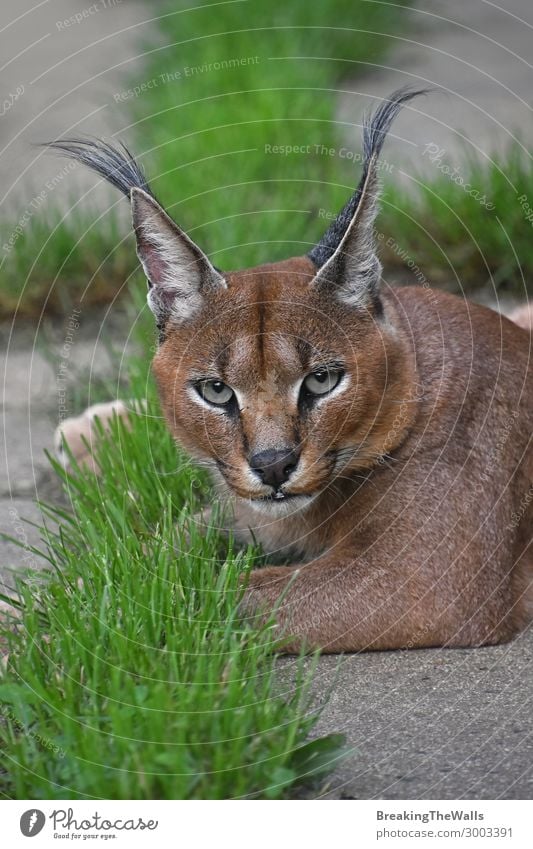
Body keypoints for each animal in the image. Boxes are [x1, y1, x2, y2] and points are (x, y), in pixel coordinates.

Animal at [51, 89, 532, 652]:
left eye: (322, 380)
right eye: (216, 391)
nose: (274, 465)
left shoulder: (421, 575)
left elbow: (220, 595)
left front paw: (77, 635)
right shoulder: (244, 514)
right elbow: (136, 555)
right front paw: (42, 608)